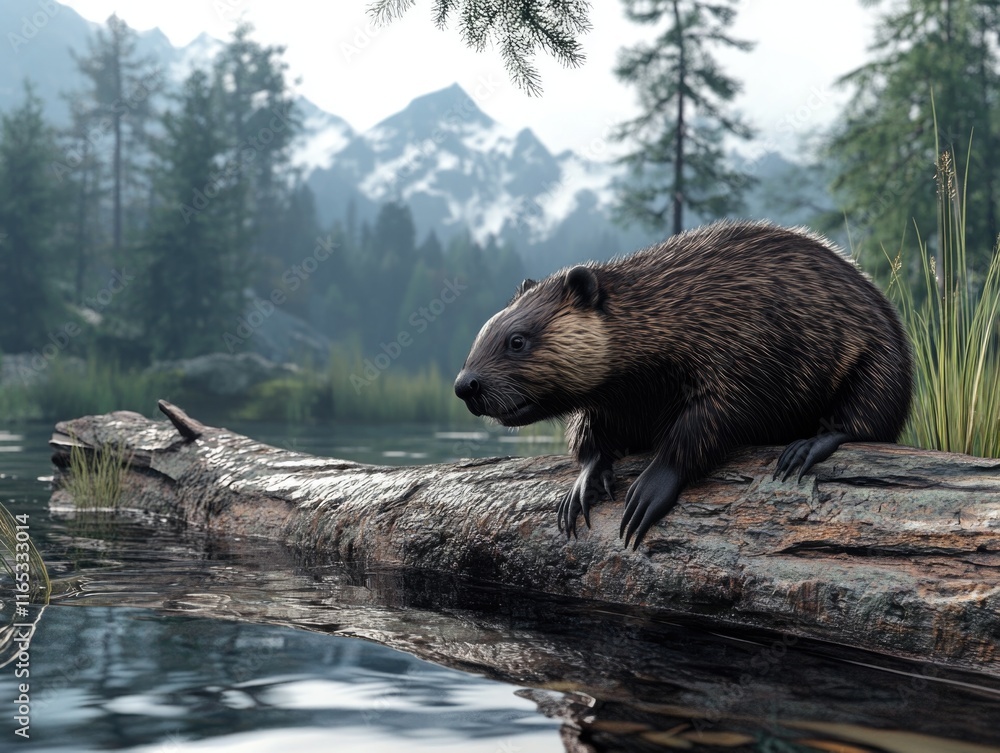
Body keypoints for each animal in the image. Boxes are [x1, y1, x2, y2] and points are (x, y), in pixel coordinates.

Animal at [454, 217, 916, 548]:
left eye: (517, 340)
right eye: (483, 332)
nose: (465, 386)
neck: (670, 307)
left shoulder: (736, 345)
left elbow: (712, 418)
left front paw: (645, 495)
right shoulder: (613, 398)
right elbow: (591, 434)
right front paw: (581, 486)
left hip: (880, 363)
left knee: (863, 420)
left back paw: (804, 448)